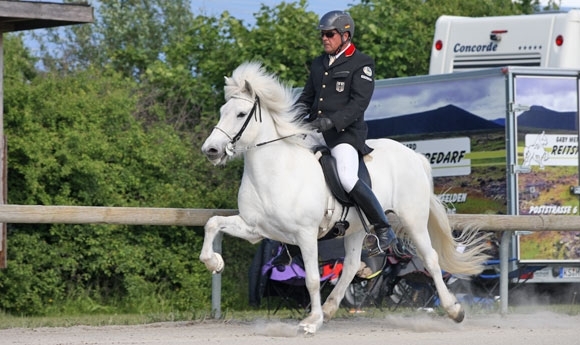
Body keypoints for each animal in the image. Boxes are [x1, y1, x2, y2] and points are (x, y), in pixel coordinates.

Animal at [199, 61, 490, 334]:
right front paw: (215, 262)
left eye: (240, 114)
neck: (275, 170)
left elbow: (312, 279)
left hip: (413, 220)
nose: (210, 150)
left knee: (430, 259)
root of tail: (415, 155)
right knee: (351, 266)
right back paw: (330, 309)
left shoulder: (305, 234)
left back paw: (454, 310)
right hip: (356, 228)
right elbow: (212, 223)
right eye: (222, 112)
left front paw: (311, 322)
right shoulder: (255, 228)